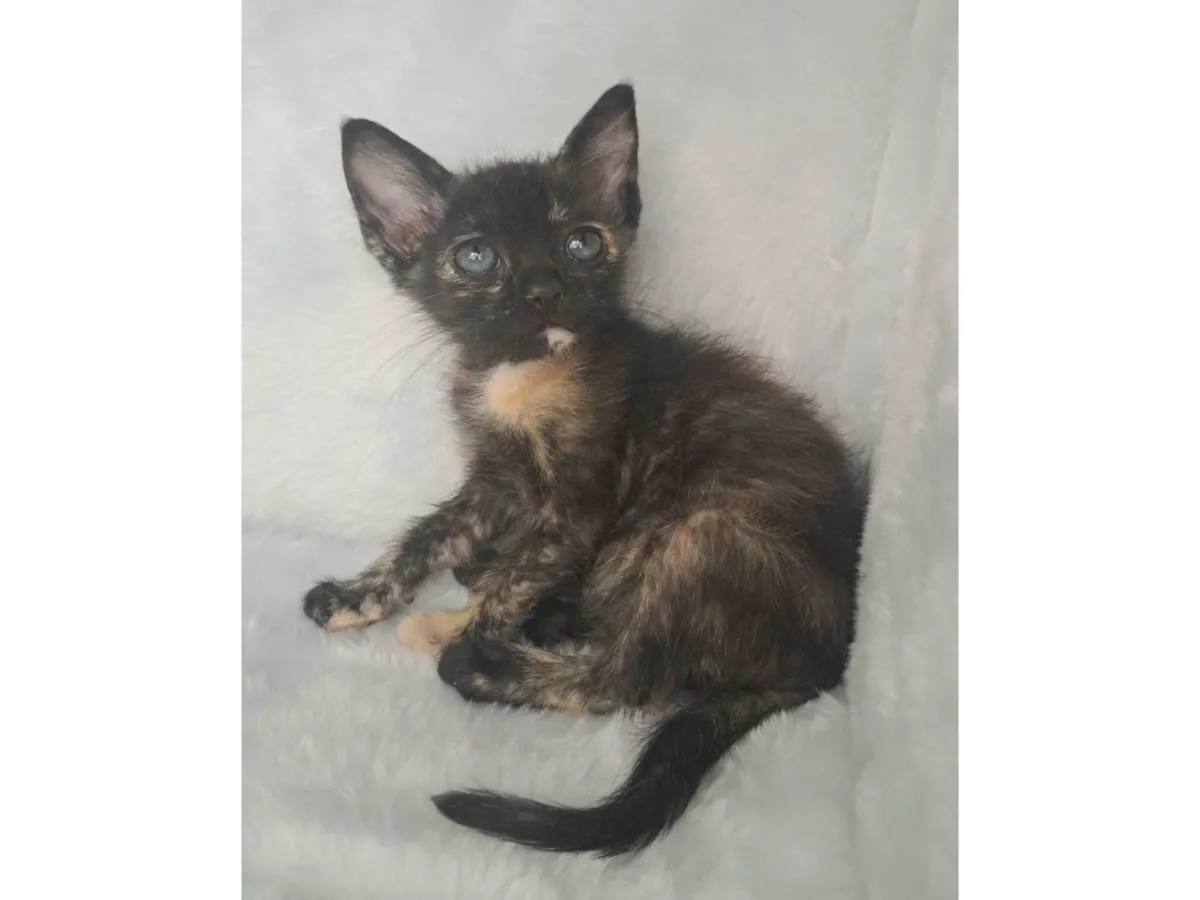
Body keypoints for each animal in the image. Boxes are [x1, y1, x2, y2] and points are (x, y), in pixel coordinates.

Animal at [302, 83, 868, 856]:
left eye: (582, 243)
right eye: (475, 258)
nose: (544, 288)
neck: (523, 376)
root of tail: (824, 662)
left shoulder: (579, 508)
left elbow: (512, 581)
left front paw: (457, 628)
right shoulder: (496, 482)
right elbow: (427, 535)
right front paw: (360, 594)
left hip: (698, 534)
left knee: (630, 681)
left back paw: (485, 664)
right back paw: (548, 614)